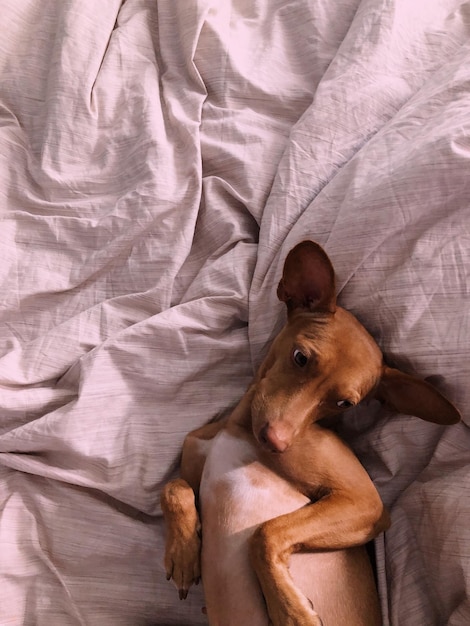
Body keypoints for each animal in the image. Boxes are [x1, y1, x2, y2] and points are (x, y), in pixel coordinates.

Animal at [161, 239, 458, 624]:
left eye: (345, 403)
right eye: (300, 357)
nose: (277, 442)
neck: (237, 428)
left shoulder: (365, 503)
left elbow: (265, 533)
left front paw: (290, 611)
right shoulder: (194, 466)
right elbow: (174, 486)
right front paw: (182, 553)